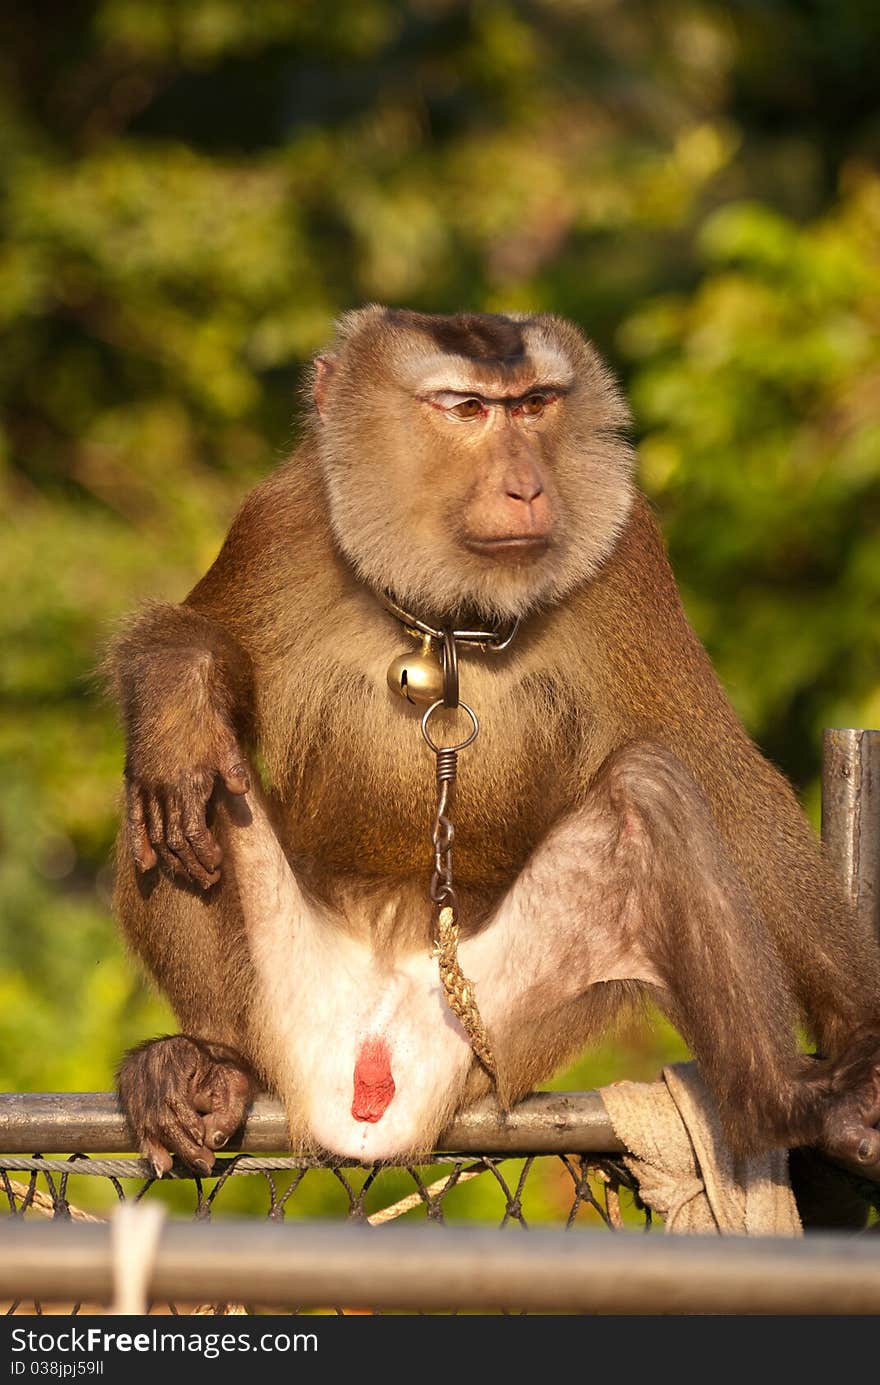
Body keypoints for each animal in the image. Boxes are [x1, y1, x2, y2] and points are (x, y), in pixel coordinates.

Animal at [108, 306, 880, 1180]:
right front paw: (180, 685)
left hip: (492, 1035)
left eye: (535, 403)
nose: (528, 488)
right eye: (469, 409)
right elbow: (204, 644)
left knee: (648, 793)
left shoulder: (628, 556)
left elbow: (724, 780)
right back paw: (207, 1060)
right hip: (280, 1002)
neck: (447, 614)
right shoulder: (282, 520)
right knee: (181, 787)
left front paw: (861, 1029)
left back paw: (783, 1100)